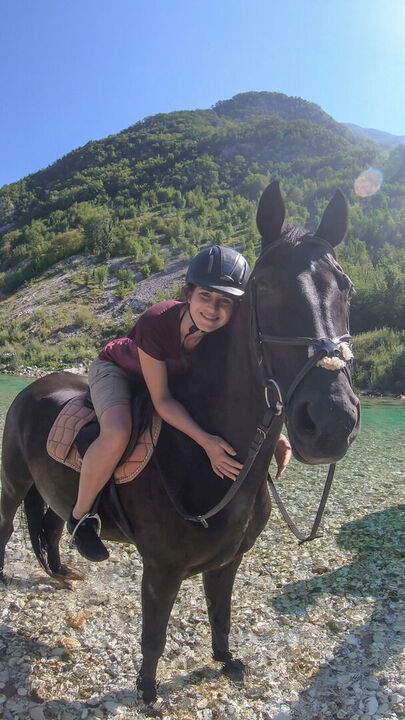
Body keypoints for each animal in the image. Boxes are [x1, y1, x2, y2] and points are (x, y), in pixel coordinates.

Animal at [0, 181, 360, 704]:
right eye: (265, 288)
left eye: (347, 289)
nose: (332, 420)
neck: (201, 461)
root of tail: (36, 385)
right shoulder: (161, 570)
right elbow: (154, 635)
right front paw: (148, 692)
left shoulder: (227, 563)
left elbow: (220, 615)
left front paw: (226, 661)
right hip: (13, 482)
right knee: (9, 526)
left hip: (51, 490)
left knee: (50, 527)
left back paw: (64, 574)